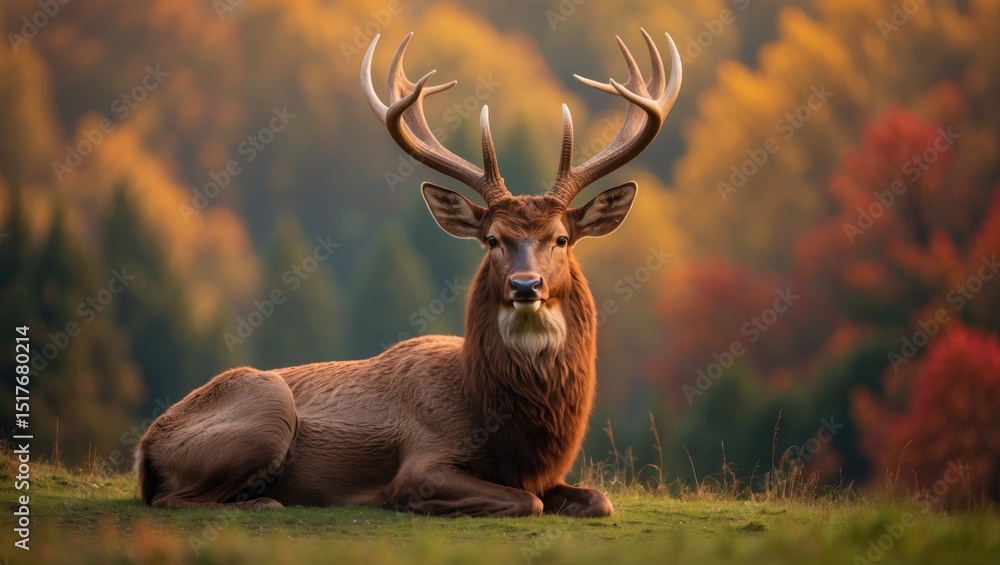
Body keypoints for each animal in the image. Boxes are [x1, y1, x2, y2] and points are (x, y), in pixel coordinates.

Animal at [135, 29, 680, 518]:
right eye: (492, 240)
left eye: (562, 239)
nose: (526, 285)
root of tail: (144, 450)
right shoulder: (422, 463)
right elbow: (527, 502)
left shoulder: (550, 473)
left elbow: (599, 500)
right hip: (268, 408)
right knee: (173, 499)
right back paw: (264, 501)